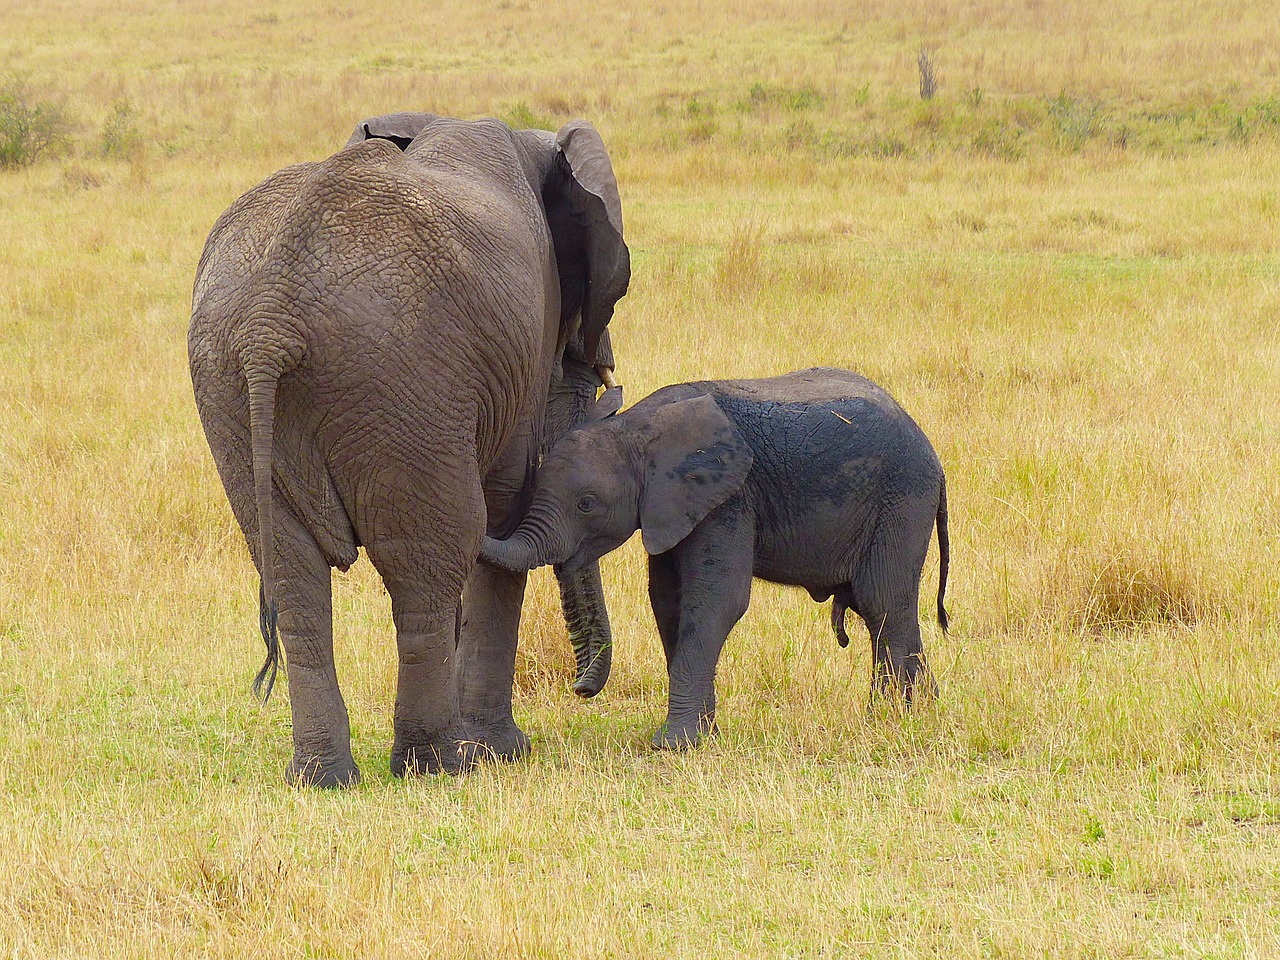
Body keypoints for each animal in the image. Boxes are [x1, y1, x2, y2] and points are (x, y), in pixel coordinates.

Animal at [188, 114, 629, 788]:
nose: (584, 690)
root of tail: (272, 320)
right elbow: (503, 511)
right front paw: (501, 751)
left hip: (234, 387)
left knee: (290, 570)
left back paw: (323, 778)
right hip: (402, 377)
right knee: (429, 561)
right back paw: (439, 765)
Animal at [483, 363, 947, 747]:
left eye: (586, 504)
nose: (580, 690)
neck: (636, 428)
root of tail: (931, 451)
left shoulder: (728, 498)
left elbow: (716, 602)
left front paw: (674, 745)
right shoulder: (670, 507)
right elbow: (668, 603)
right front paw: (703, 735)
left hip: (902, 498)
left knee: (882, 602)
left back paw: (903, 719)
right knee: (879, 610)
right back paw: (900, 715)